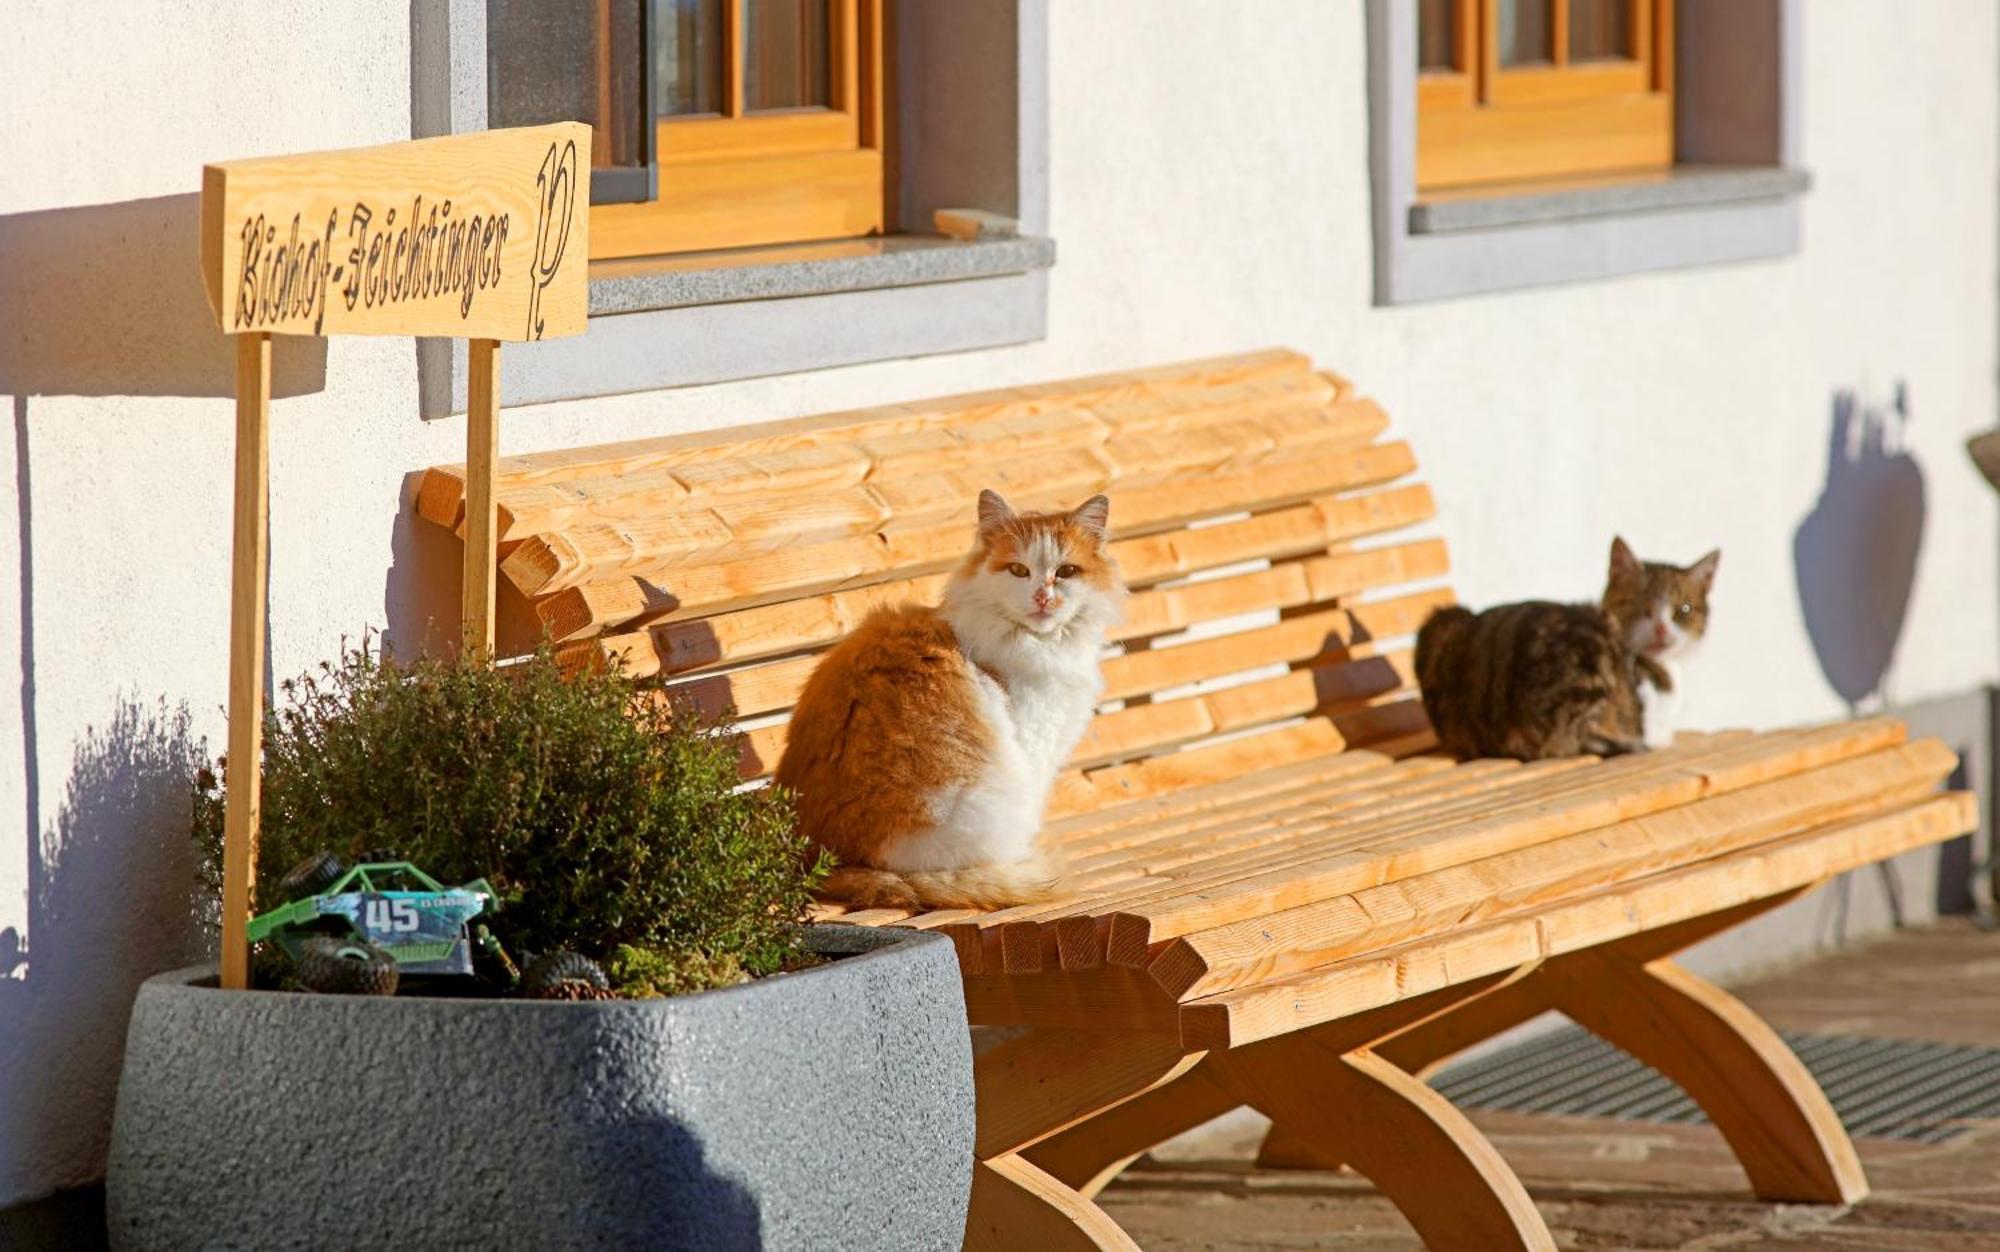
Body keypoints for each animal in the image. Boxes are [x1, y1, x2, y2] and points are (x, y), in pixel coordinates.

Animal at [776, 488, 1128, 908]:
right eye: (1019, 571)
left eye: (1066, 572)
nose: (1043, 597)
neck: (1038, 642)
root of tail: (825, 864)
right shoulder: (1033, 747)